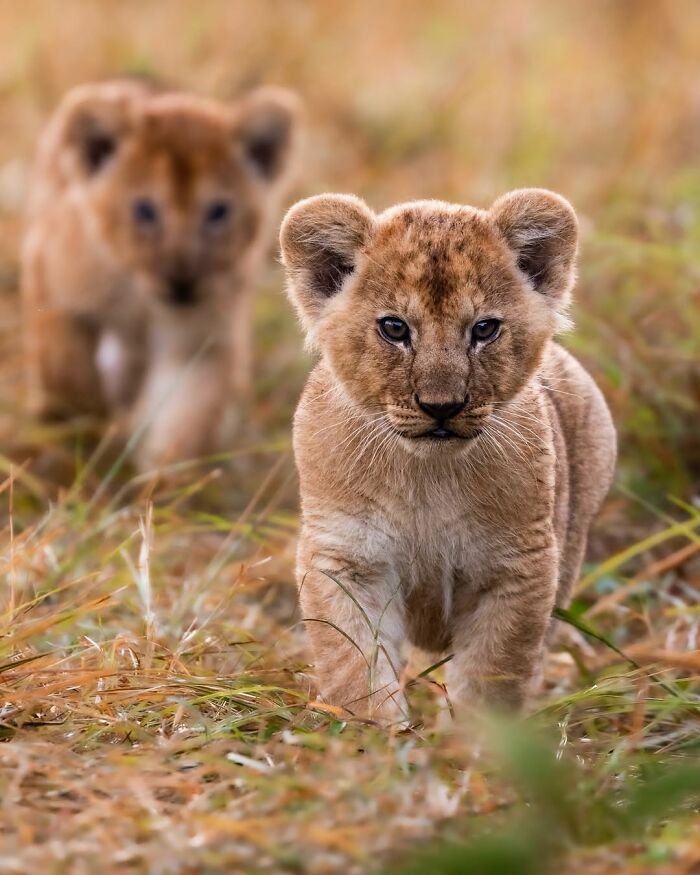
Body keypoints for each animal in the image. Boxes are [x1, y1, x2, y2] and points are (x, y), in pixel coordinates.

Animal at [22, 79, 300, 470]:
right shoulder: (50, 277)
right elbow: (65, 368)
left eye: (218, 211)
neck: (141, 297)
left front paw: (163, 477)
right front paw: (84, 419)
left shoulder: (198, 341)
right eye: (144, 210)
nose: (182, 284)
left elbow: (186, 418)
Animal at [280, 188, 617, 721]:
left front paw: (479, 739)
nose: (442, 406)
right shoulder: (346, 558)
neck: (427, 475)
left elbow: (491, 671)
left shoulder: (516, 568)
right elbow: (355, 661)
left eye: (484, 329)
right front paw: (372, 732)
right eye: (394, 328)